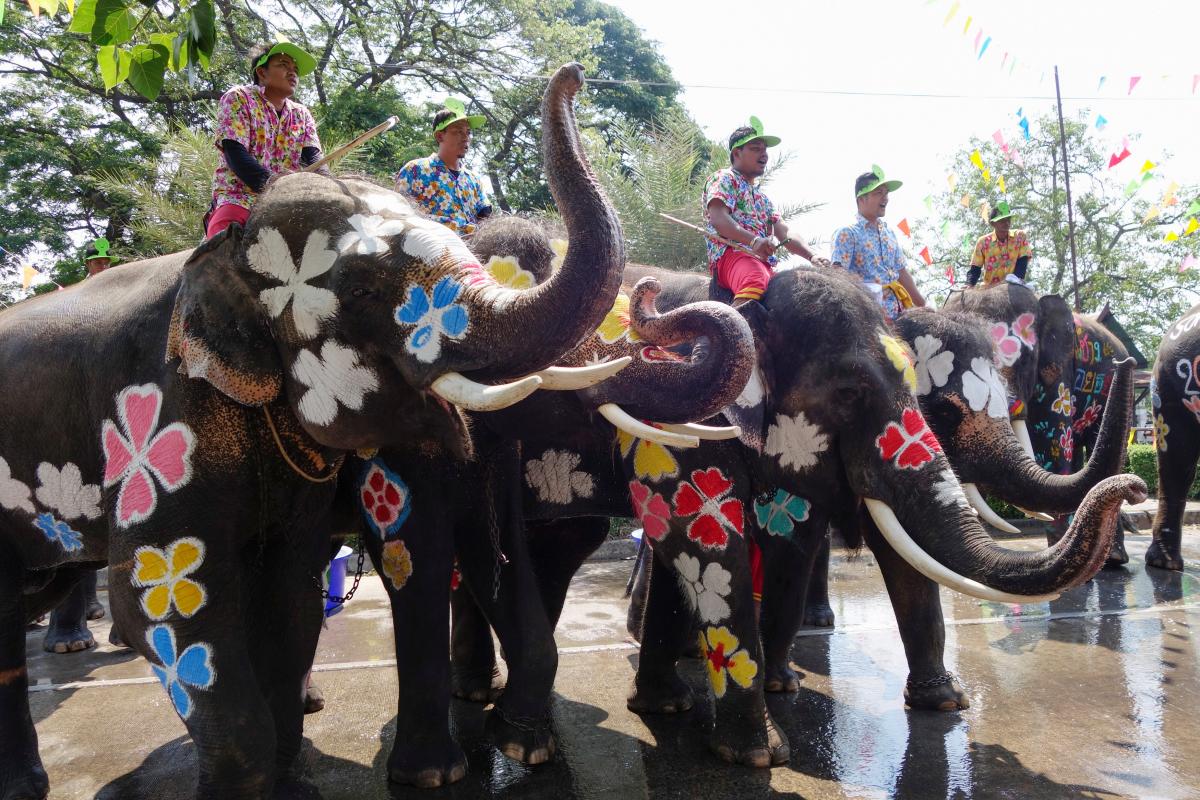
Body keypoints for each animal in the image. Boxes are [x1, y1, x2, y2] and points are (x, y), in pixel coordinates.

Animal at [2, 64, 628, 800]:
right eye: (361, 293)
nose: (574, 75)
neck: (228, 255)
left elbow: (296, 588)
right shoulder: (154, 413)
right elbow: (159, 599)